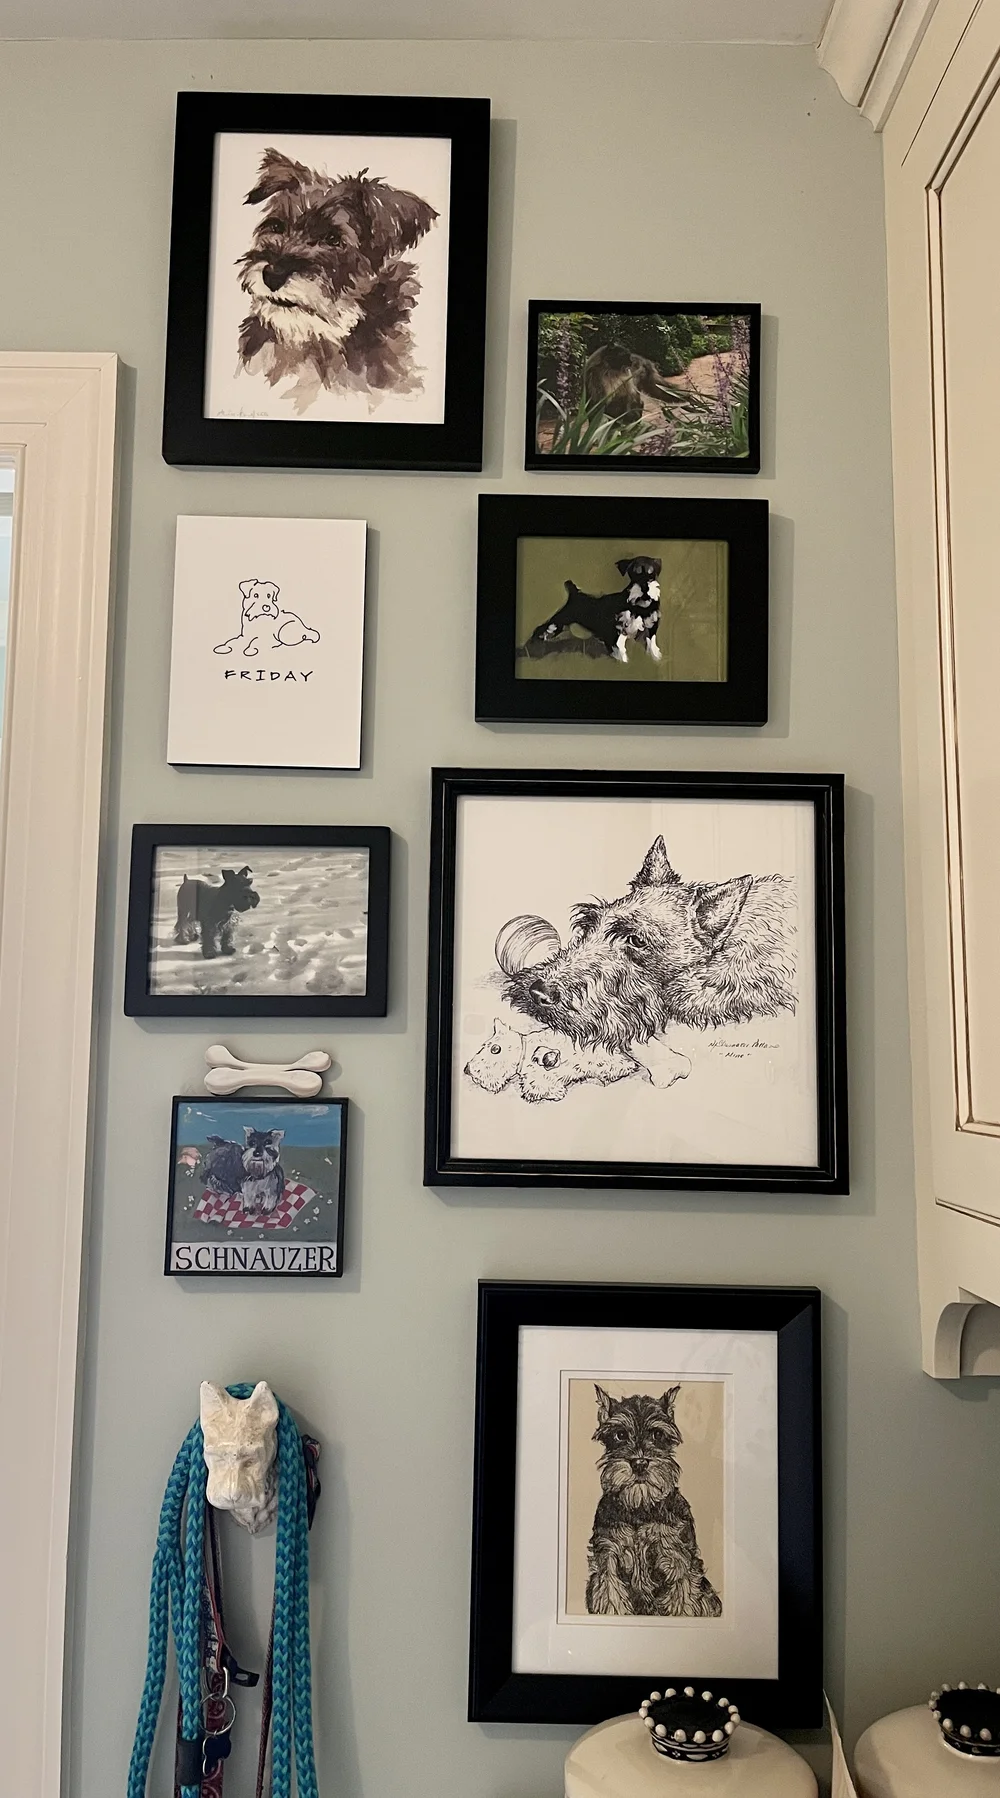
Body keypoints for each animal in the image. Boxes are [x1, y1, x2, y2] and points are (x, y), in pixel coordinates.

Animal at [527, 556, 663, 664]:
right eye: (635, 574)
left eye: (651, 574)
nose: (645, 588)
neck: (639, 607)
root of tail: (575, 594)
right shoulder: (616, 631)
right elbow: (620, 651)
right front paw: (623, 665)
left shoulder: (651, 626)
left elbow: (652, 643)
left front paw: (656, 658)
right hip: (559, 621)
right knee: (543, 629)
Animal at [585, 1386, 721, 1618]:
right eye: (620, 1434)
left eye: (658, 1434)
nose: (639, 1463)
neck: (640, 1509)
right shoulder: (608, 1557)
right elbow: (610, 1598)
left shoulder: (677, 1560)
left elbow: (683, 1603)